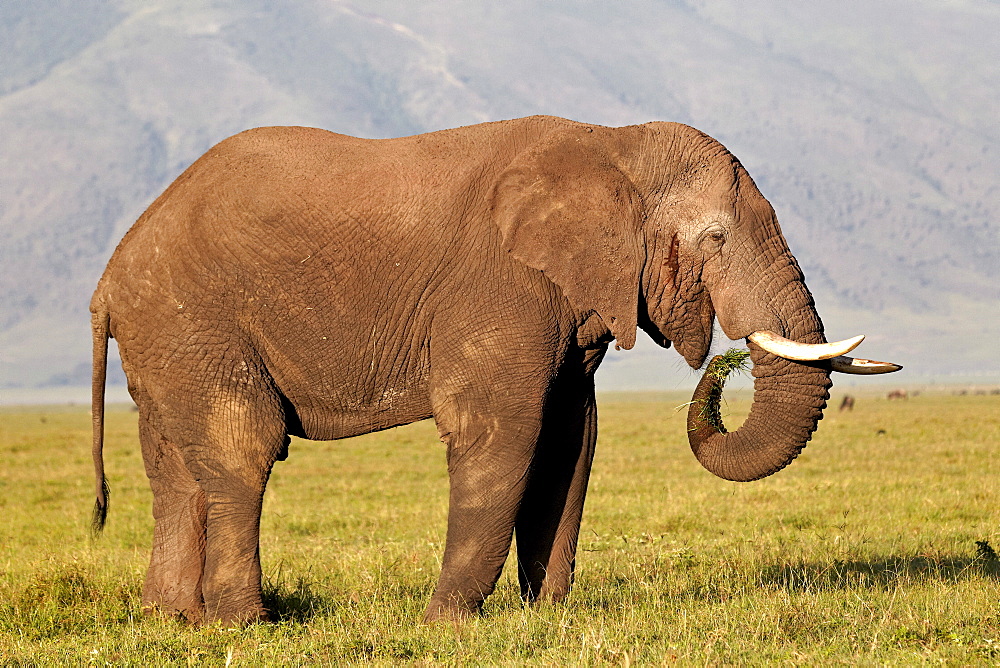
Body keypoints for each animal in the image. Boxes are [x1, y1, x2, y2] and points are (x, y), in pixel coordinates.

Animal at [88, 115, 900, 628]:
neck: (613, 146)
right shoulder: (500, 286)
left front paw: (548, 619)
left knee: (173, 470)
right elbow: (502, 436)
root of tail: (109, 276)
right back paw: (249, 625)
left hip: (167, 338)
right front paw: (445, 627)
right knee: (242, 450)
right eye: (717, 238)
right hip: (194, 318)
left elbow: (571, 443)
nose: (723, 364)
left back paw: (177, 620)